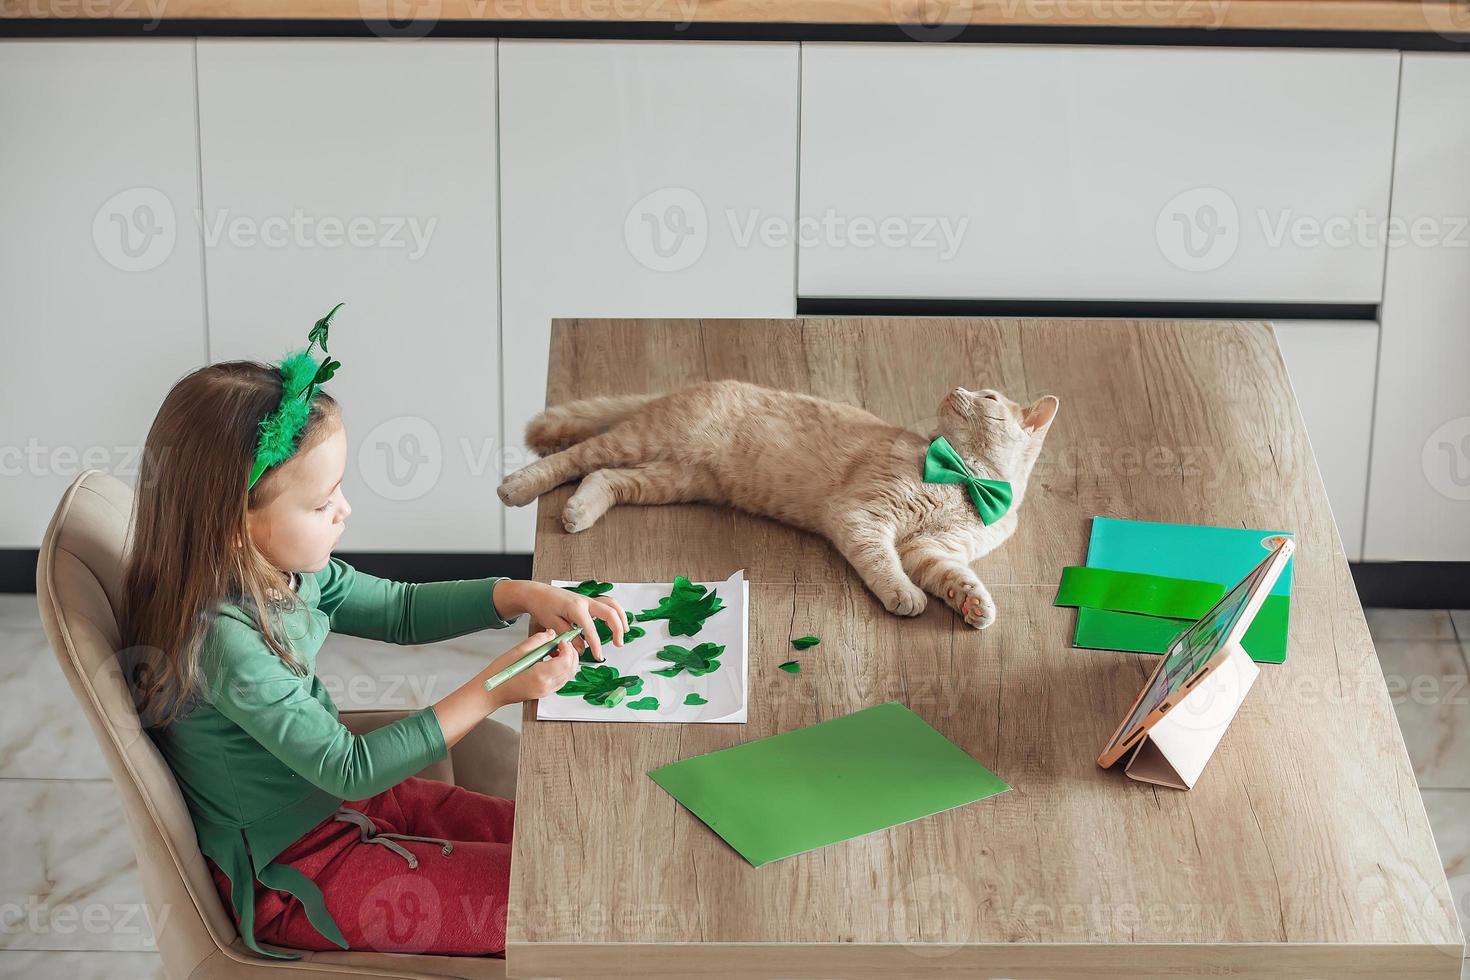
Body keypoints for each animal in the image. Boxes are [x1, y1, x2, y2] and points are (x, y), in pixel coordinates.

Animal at [496, 382, 1058, 628]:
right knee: (575, 457)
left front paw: (974, 605)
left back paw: (580, 510)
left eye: (988, 397)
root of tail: (690, 385)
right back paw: (518, 486)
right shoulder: (862, 517)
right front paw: (904, 594)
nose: (954, 388)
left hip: (672, 477)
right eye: (975, 389)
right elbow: (884, 564)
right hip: (643, 442)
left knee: (601, 476)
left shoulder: (933, 549)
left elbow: (952, 575)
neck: (964, 480)